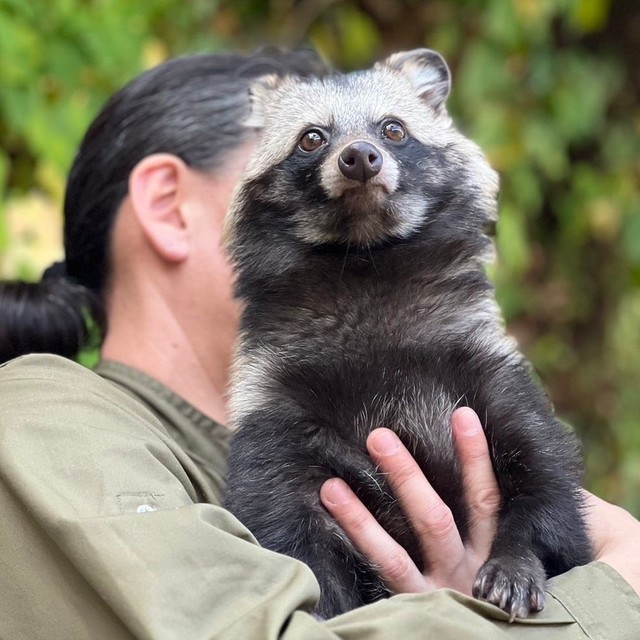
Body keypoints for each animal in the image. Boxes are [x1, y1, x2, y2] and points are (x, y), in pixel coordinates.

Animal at [224, 50, 592, 620]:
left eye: (393, 129)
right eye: (312, 138)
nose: (359, 157)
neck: (364, 257)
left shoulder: (484, 362)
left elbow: (545, 470)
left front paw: (516, 557)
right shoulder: (273, 401)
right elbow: (278, 513)